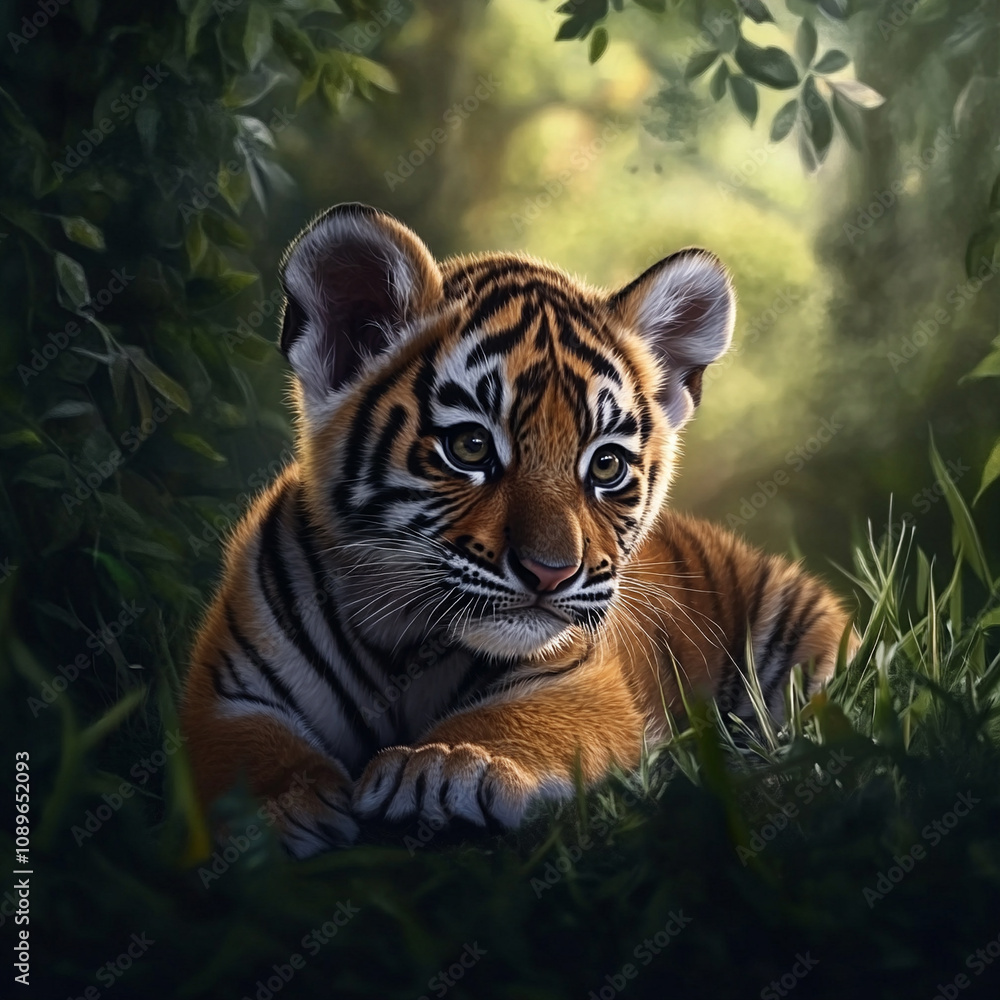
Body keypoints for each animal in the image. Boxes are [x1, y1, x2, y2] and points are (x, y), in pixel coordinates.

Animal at [180, 202, 855, 859]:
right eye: (470, 447)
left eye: (606, 465)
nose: (551, 573)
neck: (402, 645)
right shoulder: (231, 693)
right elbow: (246, 754)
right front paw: (277, 809)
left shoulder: (576, 678)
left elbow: (514, 721)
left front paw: (442, 764)